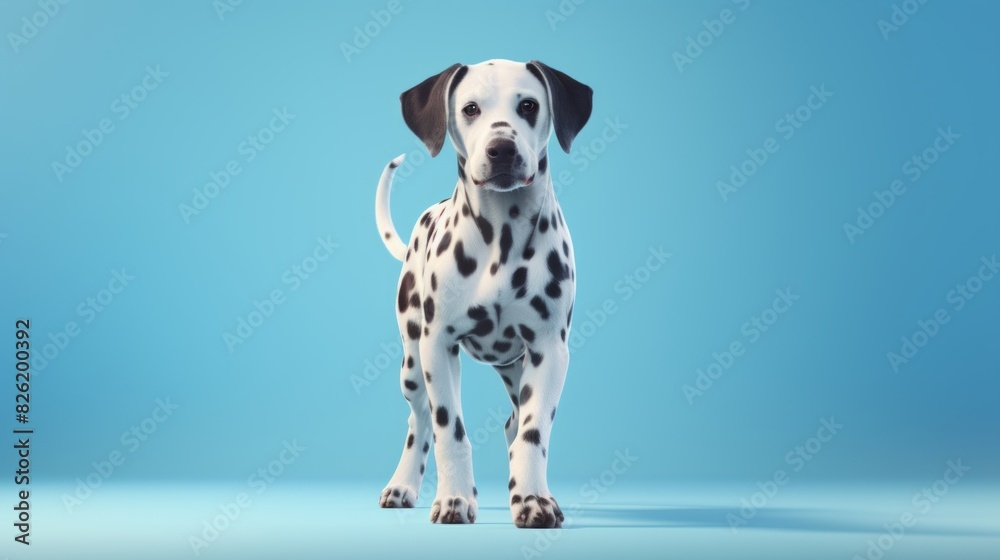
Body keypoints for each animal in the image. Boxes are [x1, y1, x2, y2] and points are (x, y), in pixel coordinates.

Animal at [376, 59, 592, 528]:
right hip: (412, 363)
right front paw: (455, 499)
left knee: (514, 422)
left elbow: (532, 432)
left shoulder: (550, 351)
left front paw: (532, 499)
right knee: (418, 422)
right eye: (470, 108)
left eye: (528, 105)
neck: (501, 240)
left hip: (516, 369)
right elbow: (449, 431)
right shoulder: (438, 347)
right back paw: (402, 485)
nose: (502, 149)